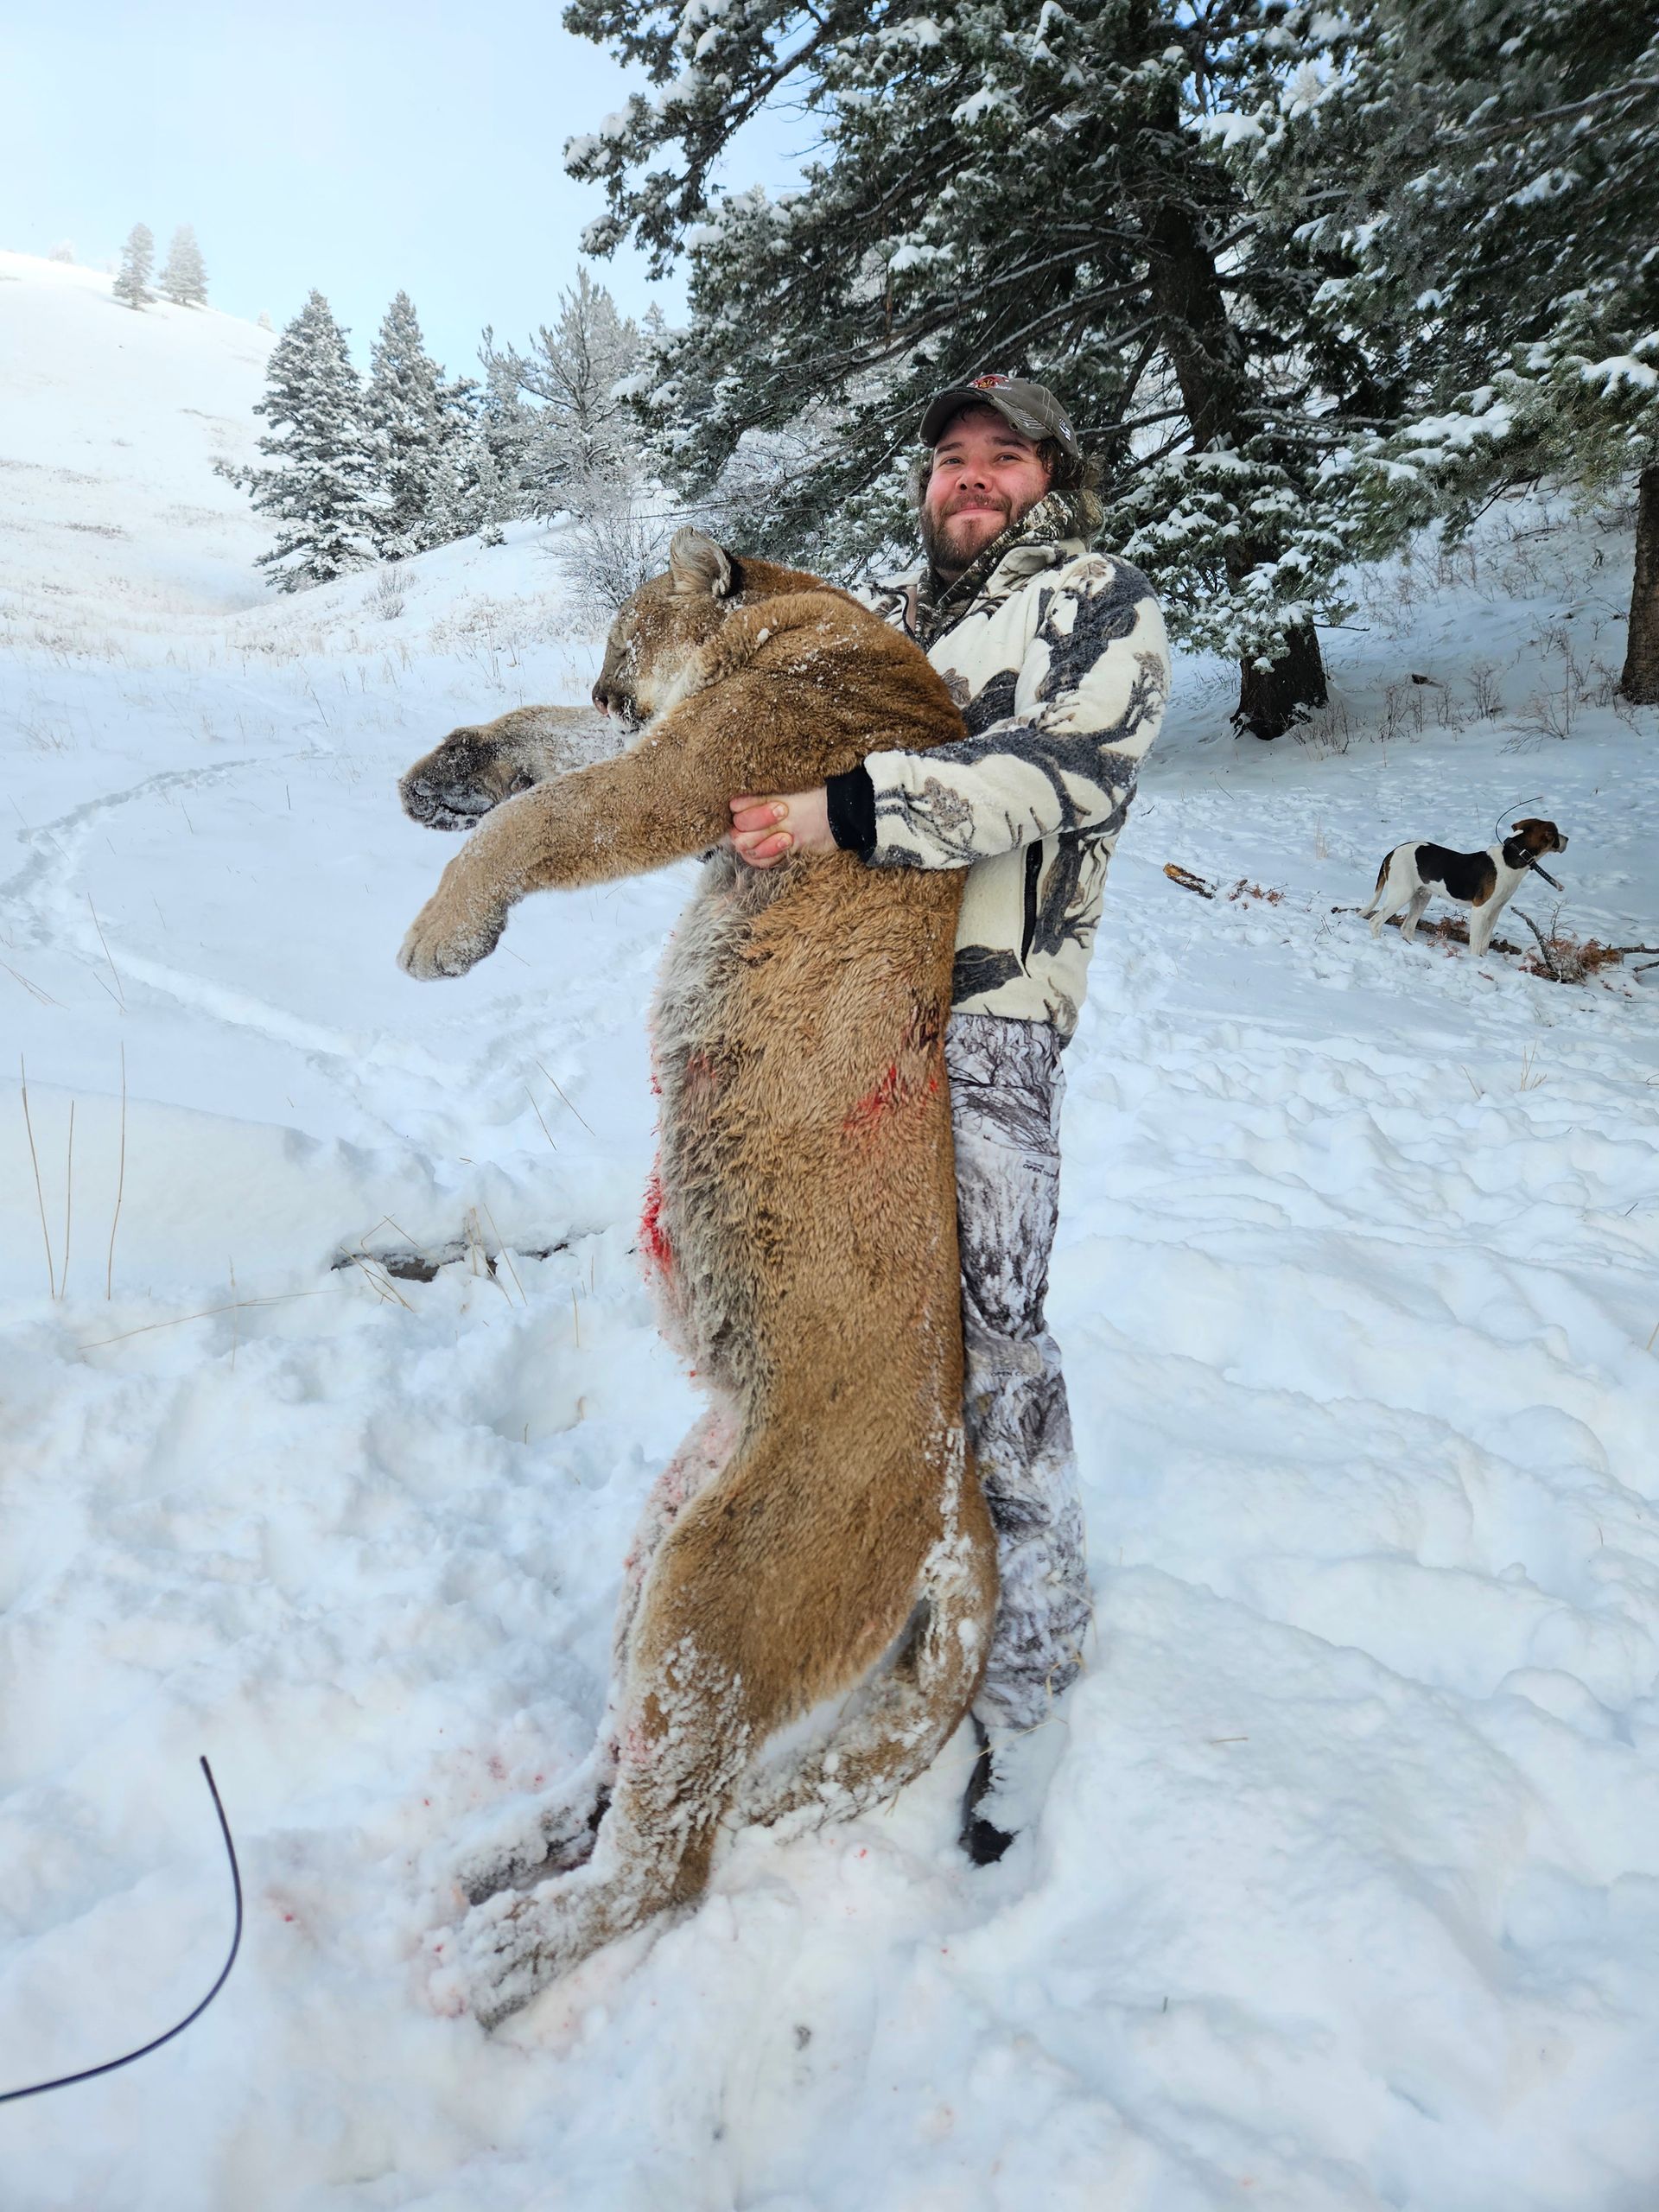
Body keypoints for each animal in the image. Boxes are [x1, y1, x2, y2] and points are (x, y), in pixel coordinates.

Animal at [398, 528, 997, 2028]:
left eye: (625, 631)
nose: (614, 682)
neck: (810, 617)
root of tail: (963, 1479)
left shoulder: (696, 771)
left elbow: (553, 818)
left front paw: (441, 934)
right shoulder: (673, 751)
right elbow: (554, 757)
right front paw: (455, 766)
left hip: (723, 1584)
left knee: (677, 1852)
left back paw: (493, 1957)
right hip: (669, 1533)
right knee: (637, 1767)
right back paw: (506, 1853)